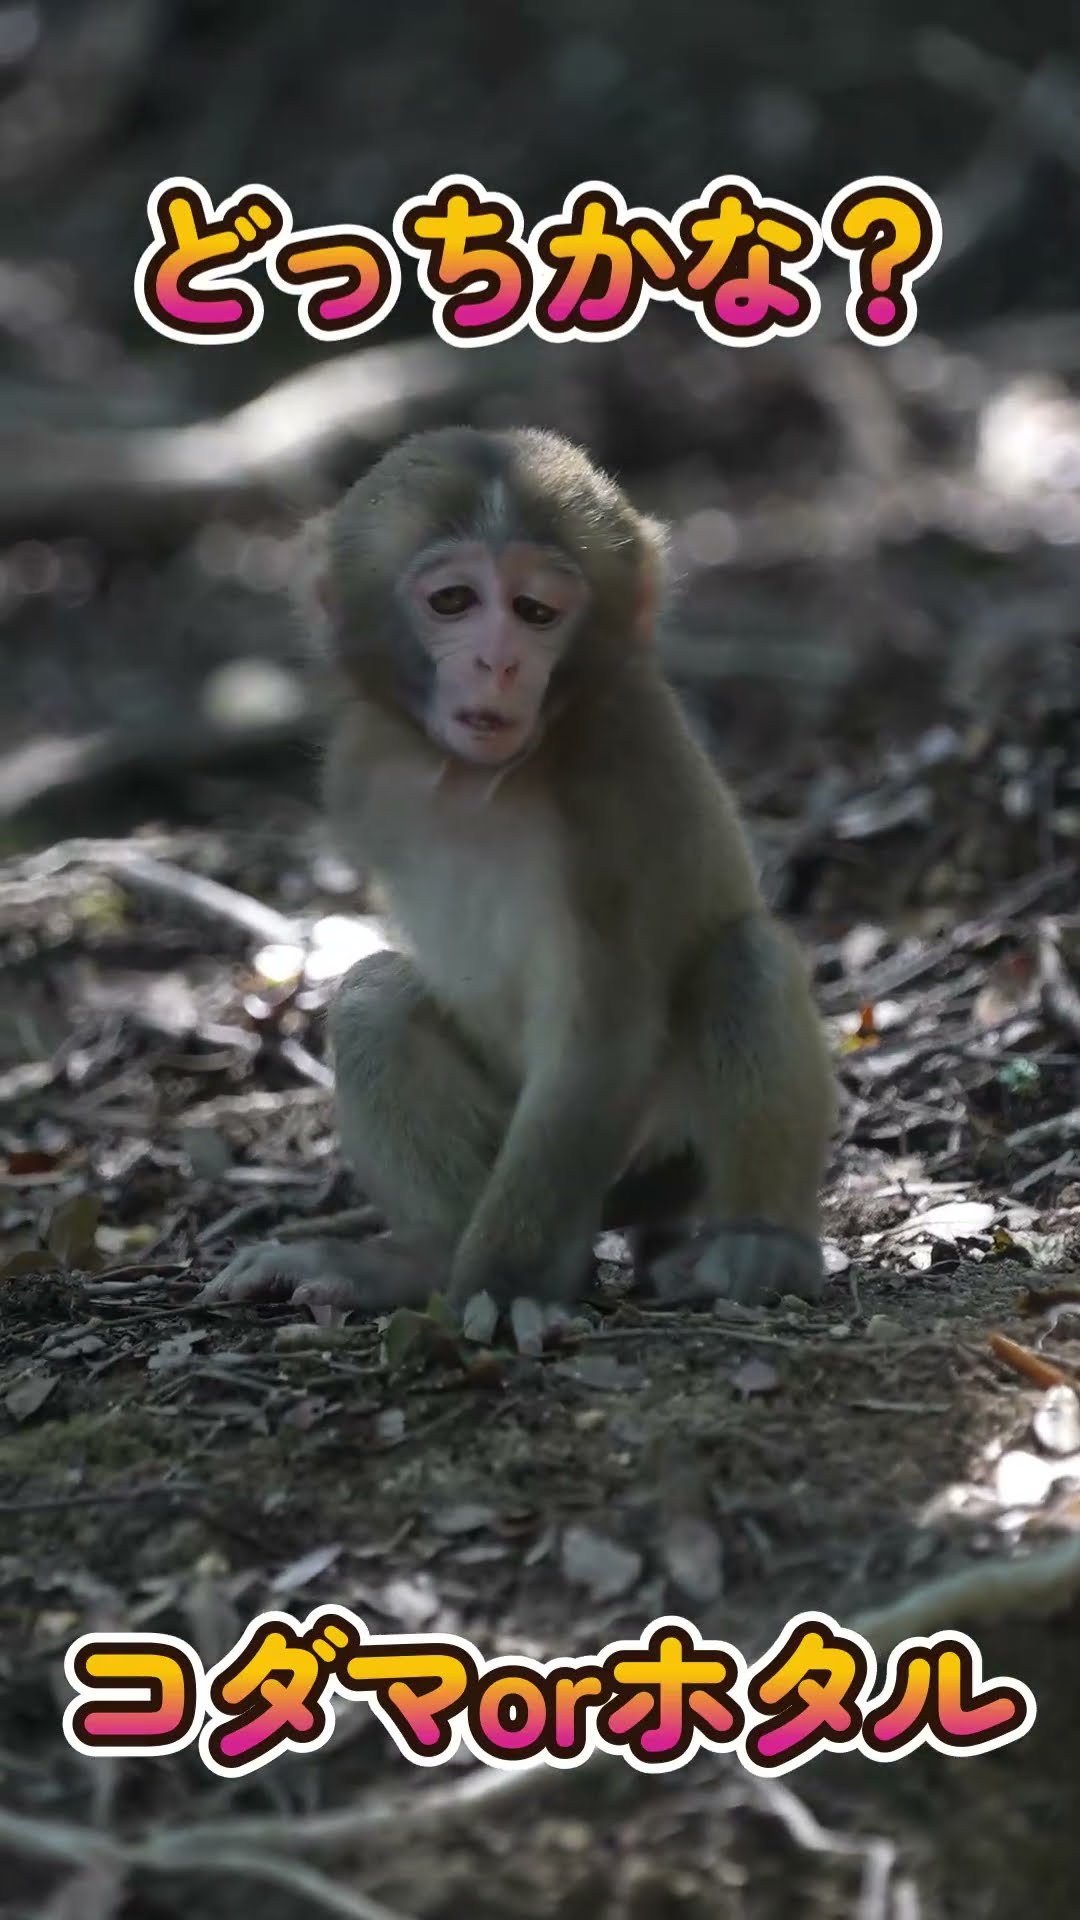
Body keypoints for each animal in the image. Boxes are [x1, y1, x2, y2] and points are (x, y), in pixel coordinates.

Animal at [199, 426, 836, 1325]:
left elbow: (599, 1042)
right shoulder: (358, 767)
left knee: (746, 960)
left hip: (651, 1153)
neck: (478, 782)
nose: (498, 662)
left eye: (535, 612)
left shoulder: (619, 781)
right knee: (374, 1000)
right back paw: (424, 1261)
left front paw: (506, 1286)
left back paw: (757, 1246)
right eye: (453, 602)